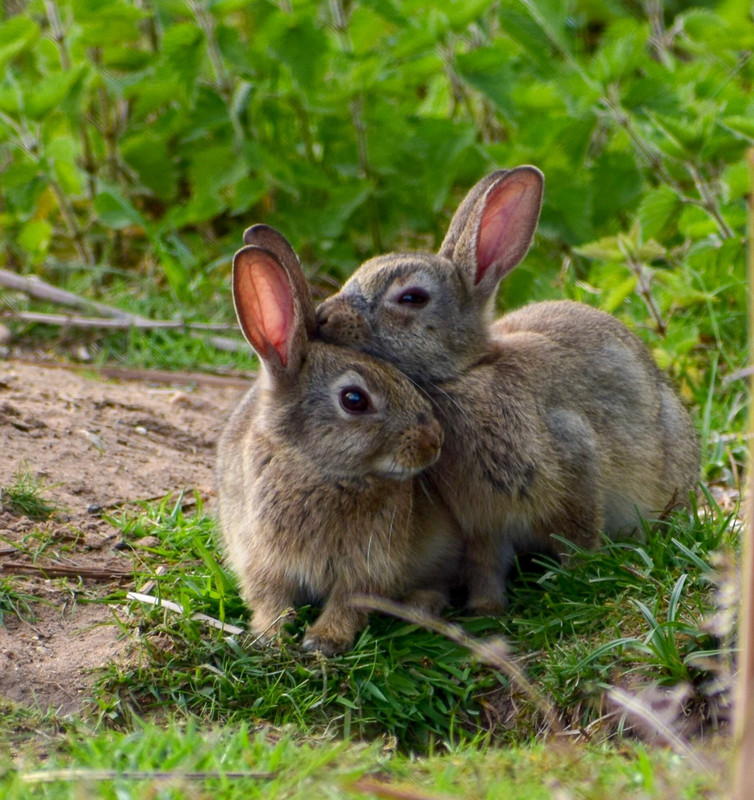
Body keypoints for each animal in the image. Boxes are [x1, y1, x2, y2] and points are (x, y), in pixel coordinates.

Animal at [216, 224, 460, 655]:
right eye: (354, 399)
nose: (433, 442)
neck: (315, 468)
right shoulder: (259, 557)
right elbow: (268, 597)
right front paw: (271, 635)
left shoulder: (369, 565)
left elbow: (350, 600)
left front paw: (323, 641)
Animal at [315, 166, 700, 615]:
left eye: (411, 297)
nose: (322, 316)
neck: (461, 375)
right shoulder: (484, 523)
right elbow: (486, 564)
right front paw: (485, 609)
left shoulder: (574, 461)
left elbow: (578, 534)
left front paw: (578, 579)